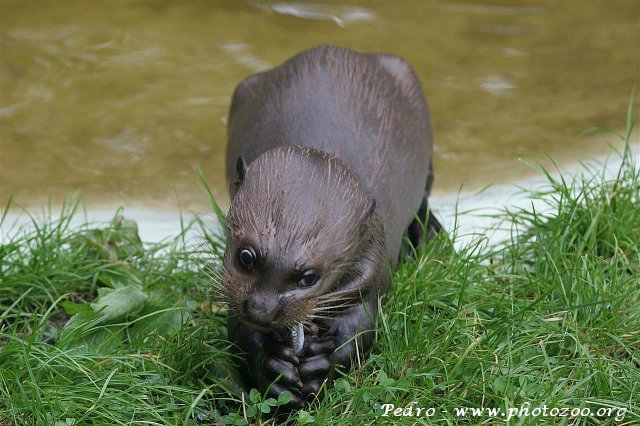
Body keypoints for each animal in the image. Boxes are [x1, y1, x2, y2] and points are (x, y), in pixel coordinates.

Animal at [222, 45, 441, 409]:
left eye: (309, 277)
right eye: (246, 257)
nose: (262, 310)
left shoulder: (373, 270)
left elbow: (361, 328)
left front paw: (317, 366)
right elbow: (240, 333)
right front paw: (274, 368)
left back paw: (427, 234)